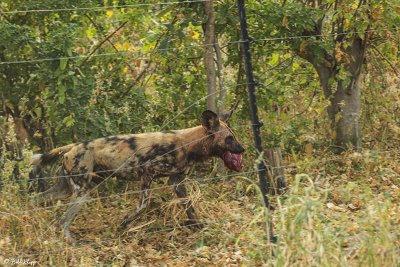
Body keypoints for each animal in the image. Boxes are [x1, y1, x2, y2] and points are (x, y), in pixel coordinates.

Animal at [32, 110, 244, 244]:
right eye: (229, 138)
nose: (243, 149)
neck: (189, 145)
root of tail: (73, 146)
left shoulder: (176, 182)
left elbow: (190, 207)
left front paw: (199, 227)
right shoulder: (147, 173)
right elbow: (143, 206)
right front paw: (123, 225)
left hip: (65, 190)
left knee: (37, 201)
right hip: (83, 193)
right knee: (63, 220)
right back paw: (73, 243)